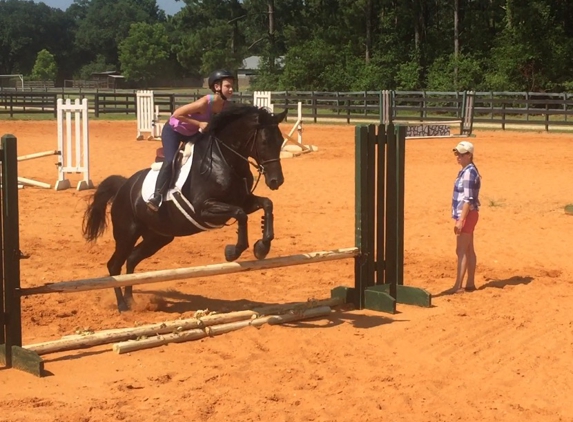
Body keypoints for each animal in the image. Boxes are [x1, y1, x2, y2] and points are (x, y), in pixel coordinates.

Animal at [82, 104, 288, 312]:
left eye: (280, 141)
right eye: (264, 142)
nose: (276, 181)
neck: (224, 159)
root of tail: (124, 187)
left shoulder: (244, 201)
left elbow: (266, 204)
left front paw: (262, 247)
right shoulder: (204, 209)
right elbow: (241, 215)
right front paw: (234, 251)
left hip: (158, 237)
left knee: (131, 259)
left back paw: (132, 301)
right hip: (127, 234)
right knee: (114, 266)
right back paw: (123, 305)